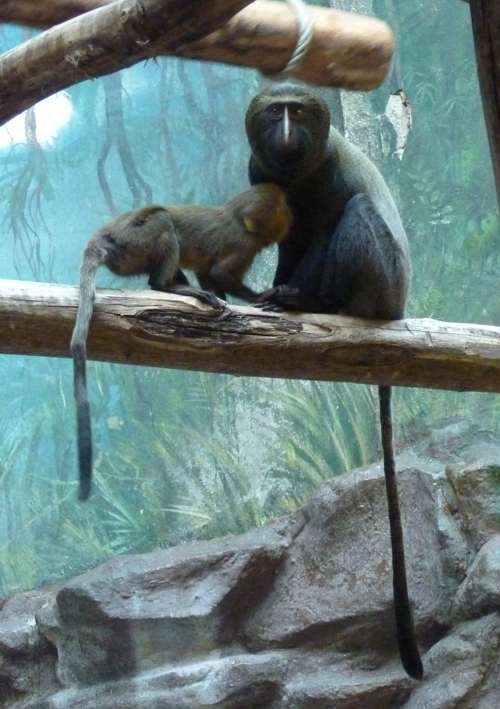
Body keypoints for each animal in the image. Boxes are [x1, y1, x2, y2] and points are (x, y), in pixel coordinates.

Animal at [71, 183, 293, 502]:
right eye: (284, 208)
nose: (293, 214)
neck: (239, 220)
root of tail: (106, 232)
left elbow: (208, 273)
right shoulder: (243, 245)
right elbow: (220, 272)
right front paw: (261, 296)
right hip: (135, 240)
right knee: (162, 221)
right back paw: (169, 286)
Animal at [245, 85, 422, 680]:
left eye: (296, 111)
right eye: (274, 112)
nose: (284, 131)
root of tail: (397, 307)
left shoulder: (328, 176)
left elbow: (323, 227)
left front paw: (289, 295)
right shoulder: (261, 175)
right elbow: (285, 234)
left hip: (378, 276)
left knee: (357, 214)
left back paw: (317, 299)